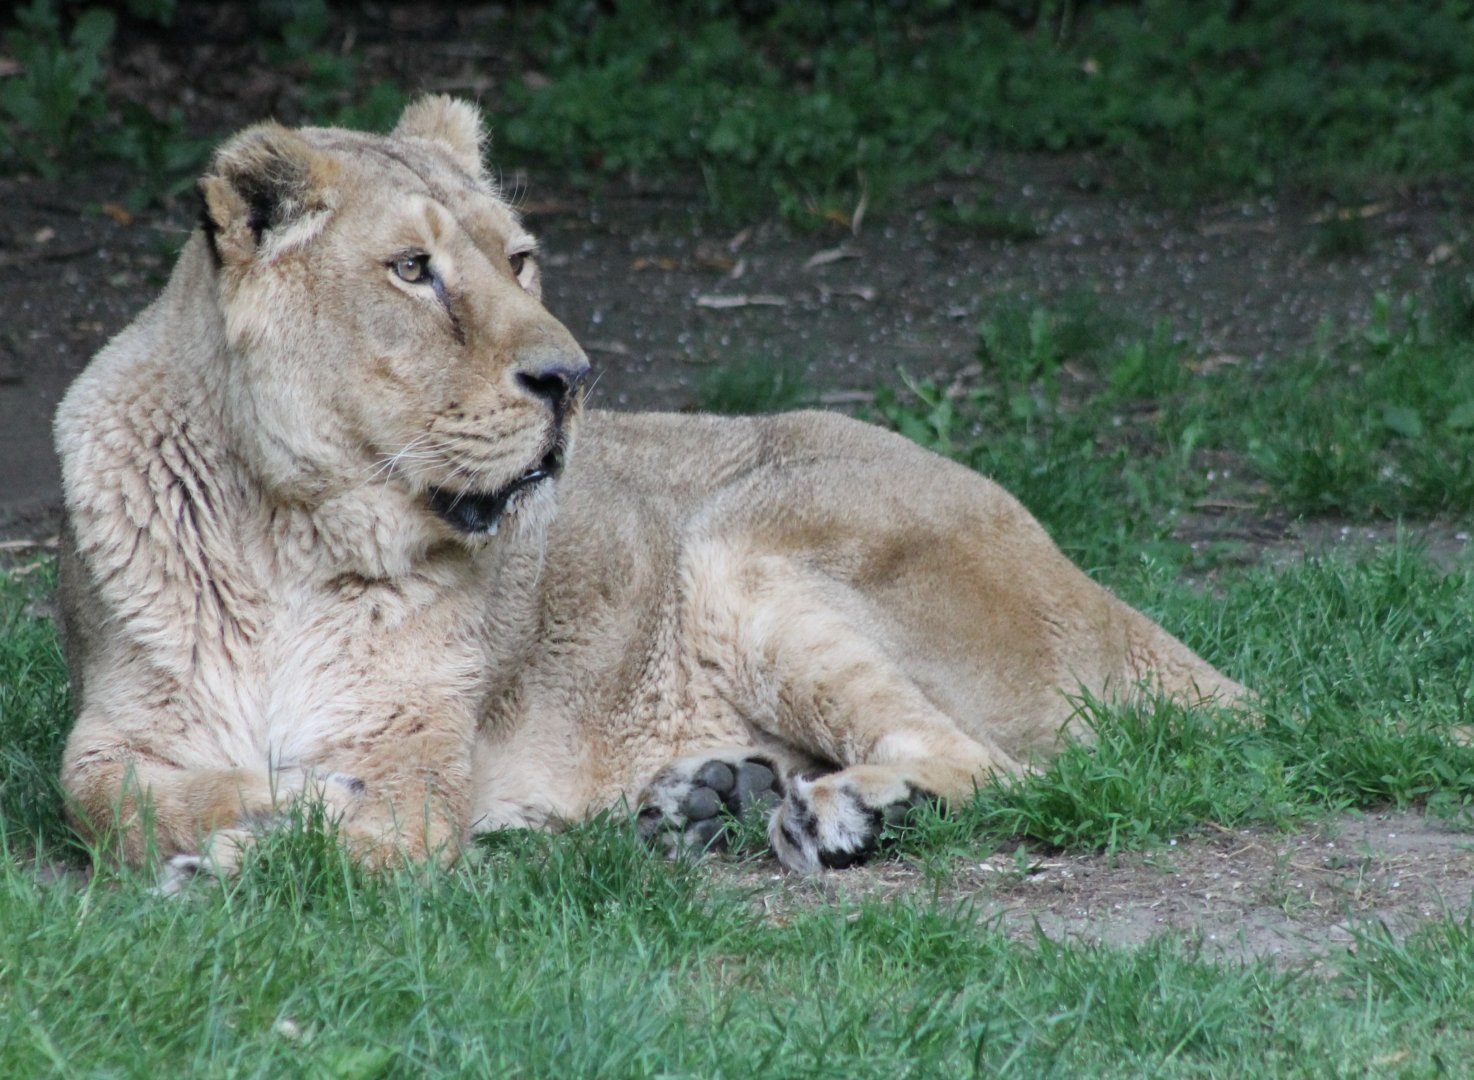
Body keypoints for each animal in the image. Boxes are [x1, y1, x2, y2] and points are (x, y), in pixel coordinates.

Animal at [53, 97, 1244, 888]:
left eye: (519, 260)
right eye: (412, 270)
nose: (569, 379)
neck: (287, 536)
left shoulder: (418, 760)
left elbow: (374, 838)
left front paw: (254, 850)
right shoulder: (113, 727)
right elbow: (101, 798)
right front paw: (252, 816)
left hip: (742, 548)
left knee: (984, 761)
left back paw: (837, 816)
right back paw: (711, 798)